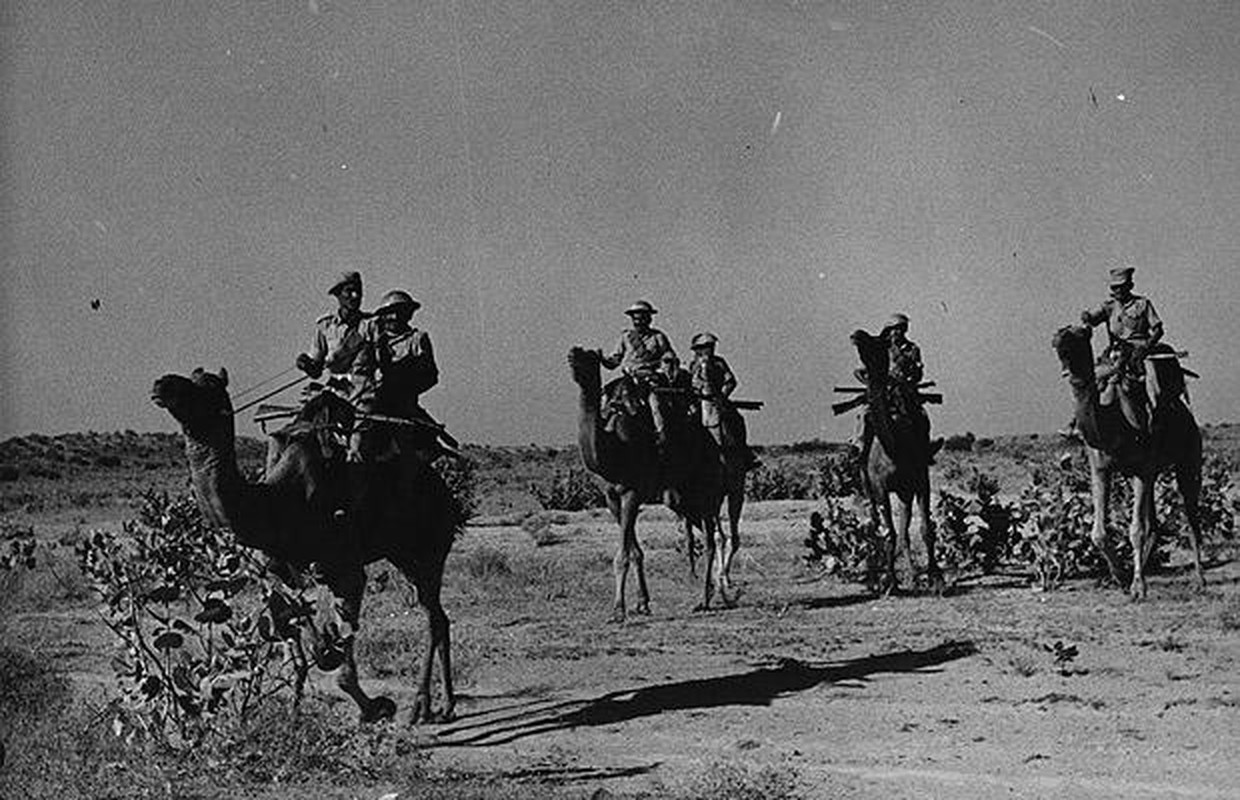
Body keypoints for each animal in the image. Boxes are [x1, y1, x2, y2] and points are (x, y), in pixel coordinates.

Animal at [152, 367, 463, 724]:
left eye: (208, 388)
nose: (162, 384)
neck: (276, 503)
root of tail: (447, 494)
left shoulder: (345, 569)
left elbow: (336, 657)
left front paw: (376, 707)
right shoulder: (274, 575)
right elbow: (296, 650)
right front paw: (294, 712)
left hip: (431, 546)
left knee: (433, 617)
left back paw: (423, 705)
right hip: (402, 555)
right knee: (438, 615)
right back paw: (444, 704)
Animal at [848, 327, 942, 595]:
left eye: (874, 340)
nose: (856, 334)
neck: (896, 448)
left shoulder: (920, 480)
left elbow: (925, 529)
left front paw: (936, 579)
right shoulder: (880, 486)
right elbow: (887, 532)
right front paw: (890, 583)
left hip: (904, 490)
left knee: (903, 527)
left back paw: (913, 575)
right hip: (867, 484)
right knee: (876, 524)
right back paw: (876, 577)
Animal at [1056, 324, 1200, 600]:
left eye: (1082, 334)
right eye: (1060, 335)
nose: (1060, 339)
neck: (1115, 420)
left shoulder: (1142, 469)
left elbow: (1136, 530)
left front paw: (1139, 587)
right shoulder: (1101, 469)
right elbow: (1098, 533)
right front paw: (1121, 578)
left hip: (1189, 457)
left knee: (1190, 515)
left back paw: (1200, 580)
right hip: (1149, 472)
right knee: (1154, 525)